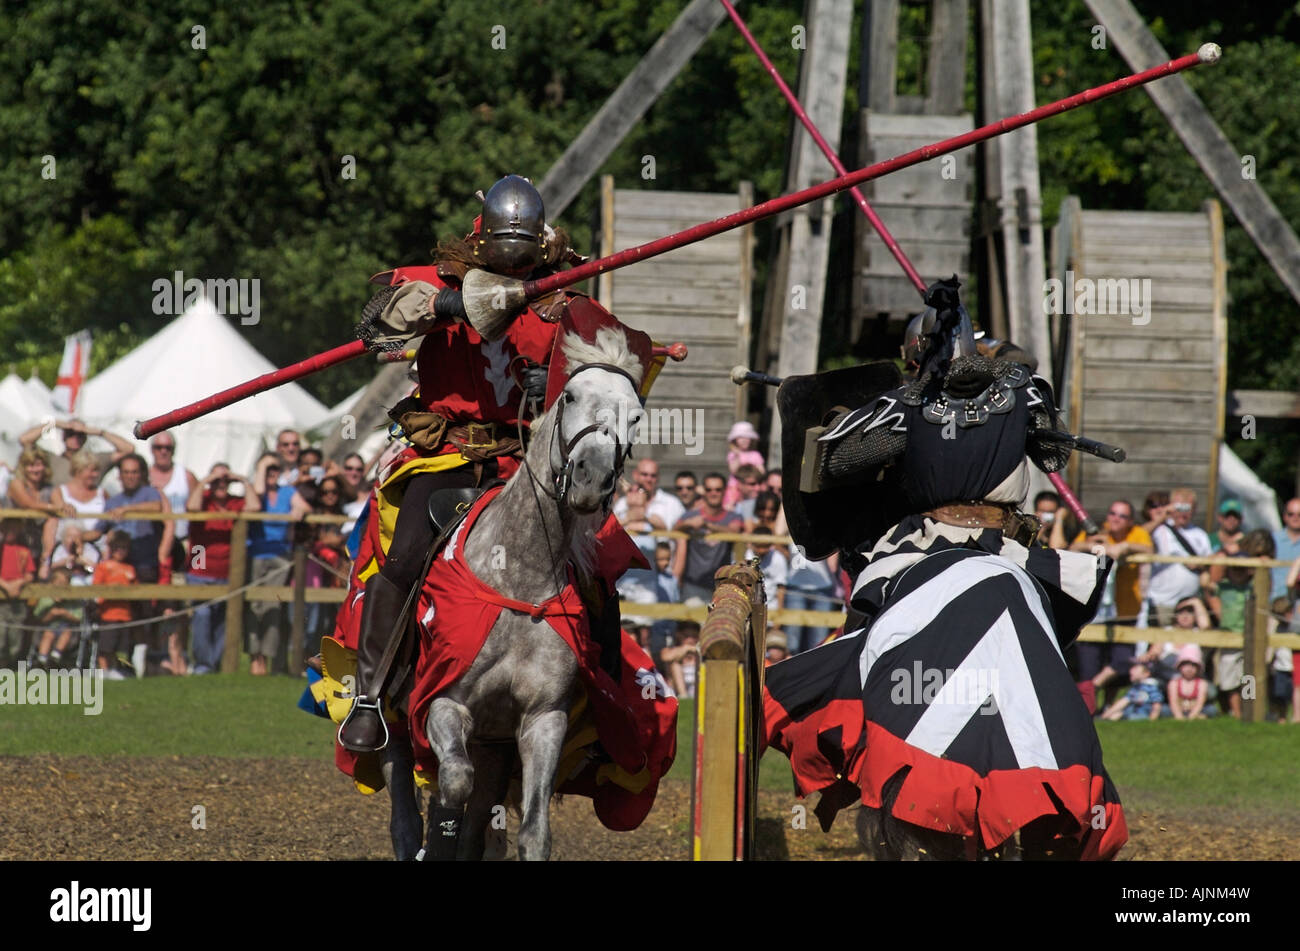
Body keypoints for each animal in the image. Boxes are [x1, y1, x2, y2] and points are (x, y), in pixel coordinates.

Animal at [384, 327, 650, 862]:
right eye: (570, 396)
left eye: (635, 415)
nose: (591, 479)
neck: (519, 578)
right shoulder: (443, 701)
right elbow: (454, 784)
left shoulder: (542, 721)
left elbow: (532, 831)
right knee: (404, 789)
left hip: (495, 746)